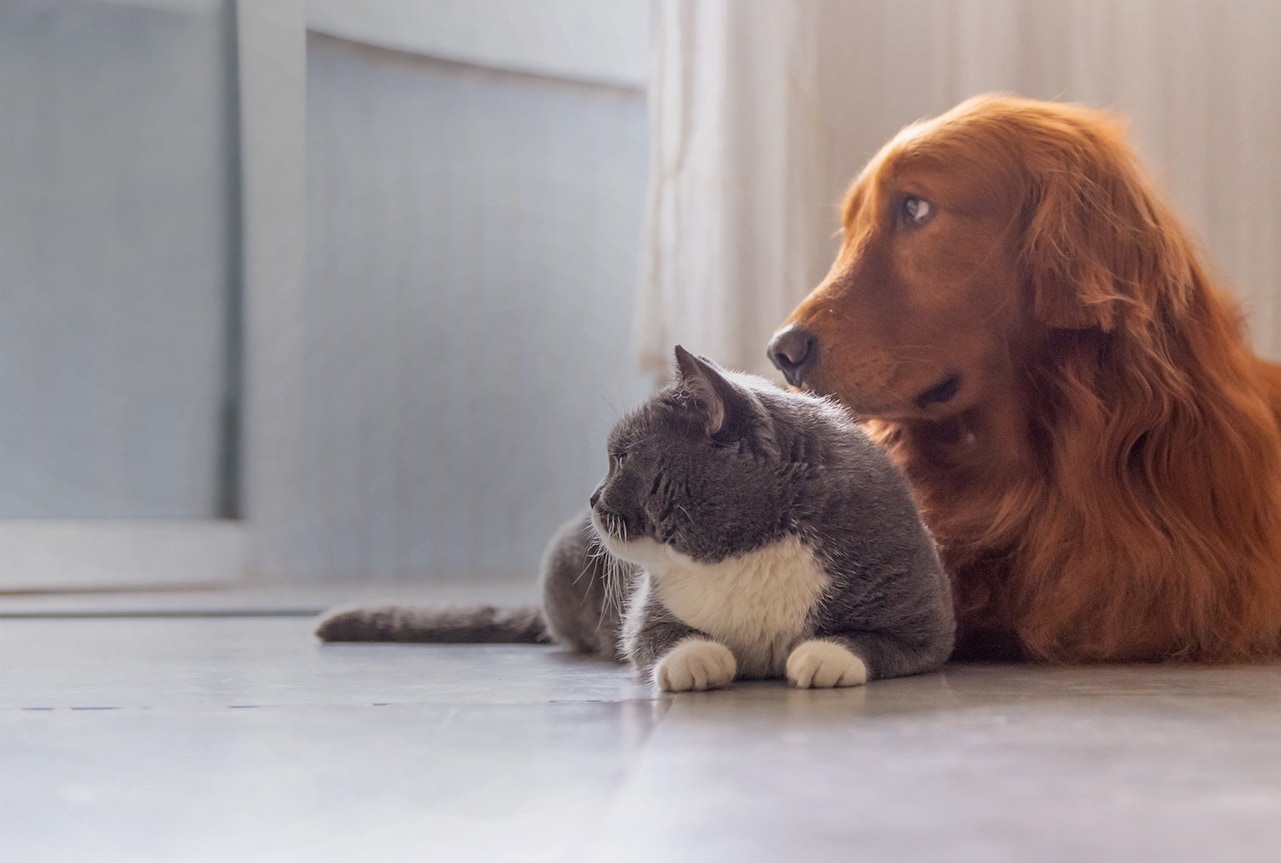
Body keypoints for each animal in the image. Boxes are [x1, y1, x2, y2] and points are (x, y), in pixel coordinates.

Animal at [315, 345, 958, 691]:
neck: (744, 548)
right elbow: (654, 638)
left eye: (621, 457)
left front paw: (824, 655)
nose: (592, 496)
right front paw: (698, 659)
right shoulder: (648, 610)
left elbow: (886, 642)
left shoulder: (923, 613)